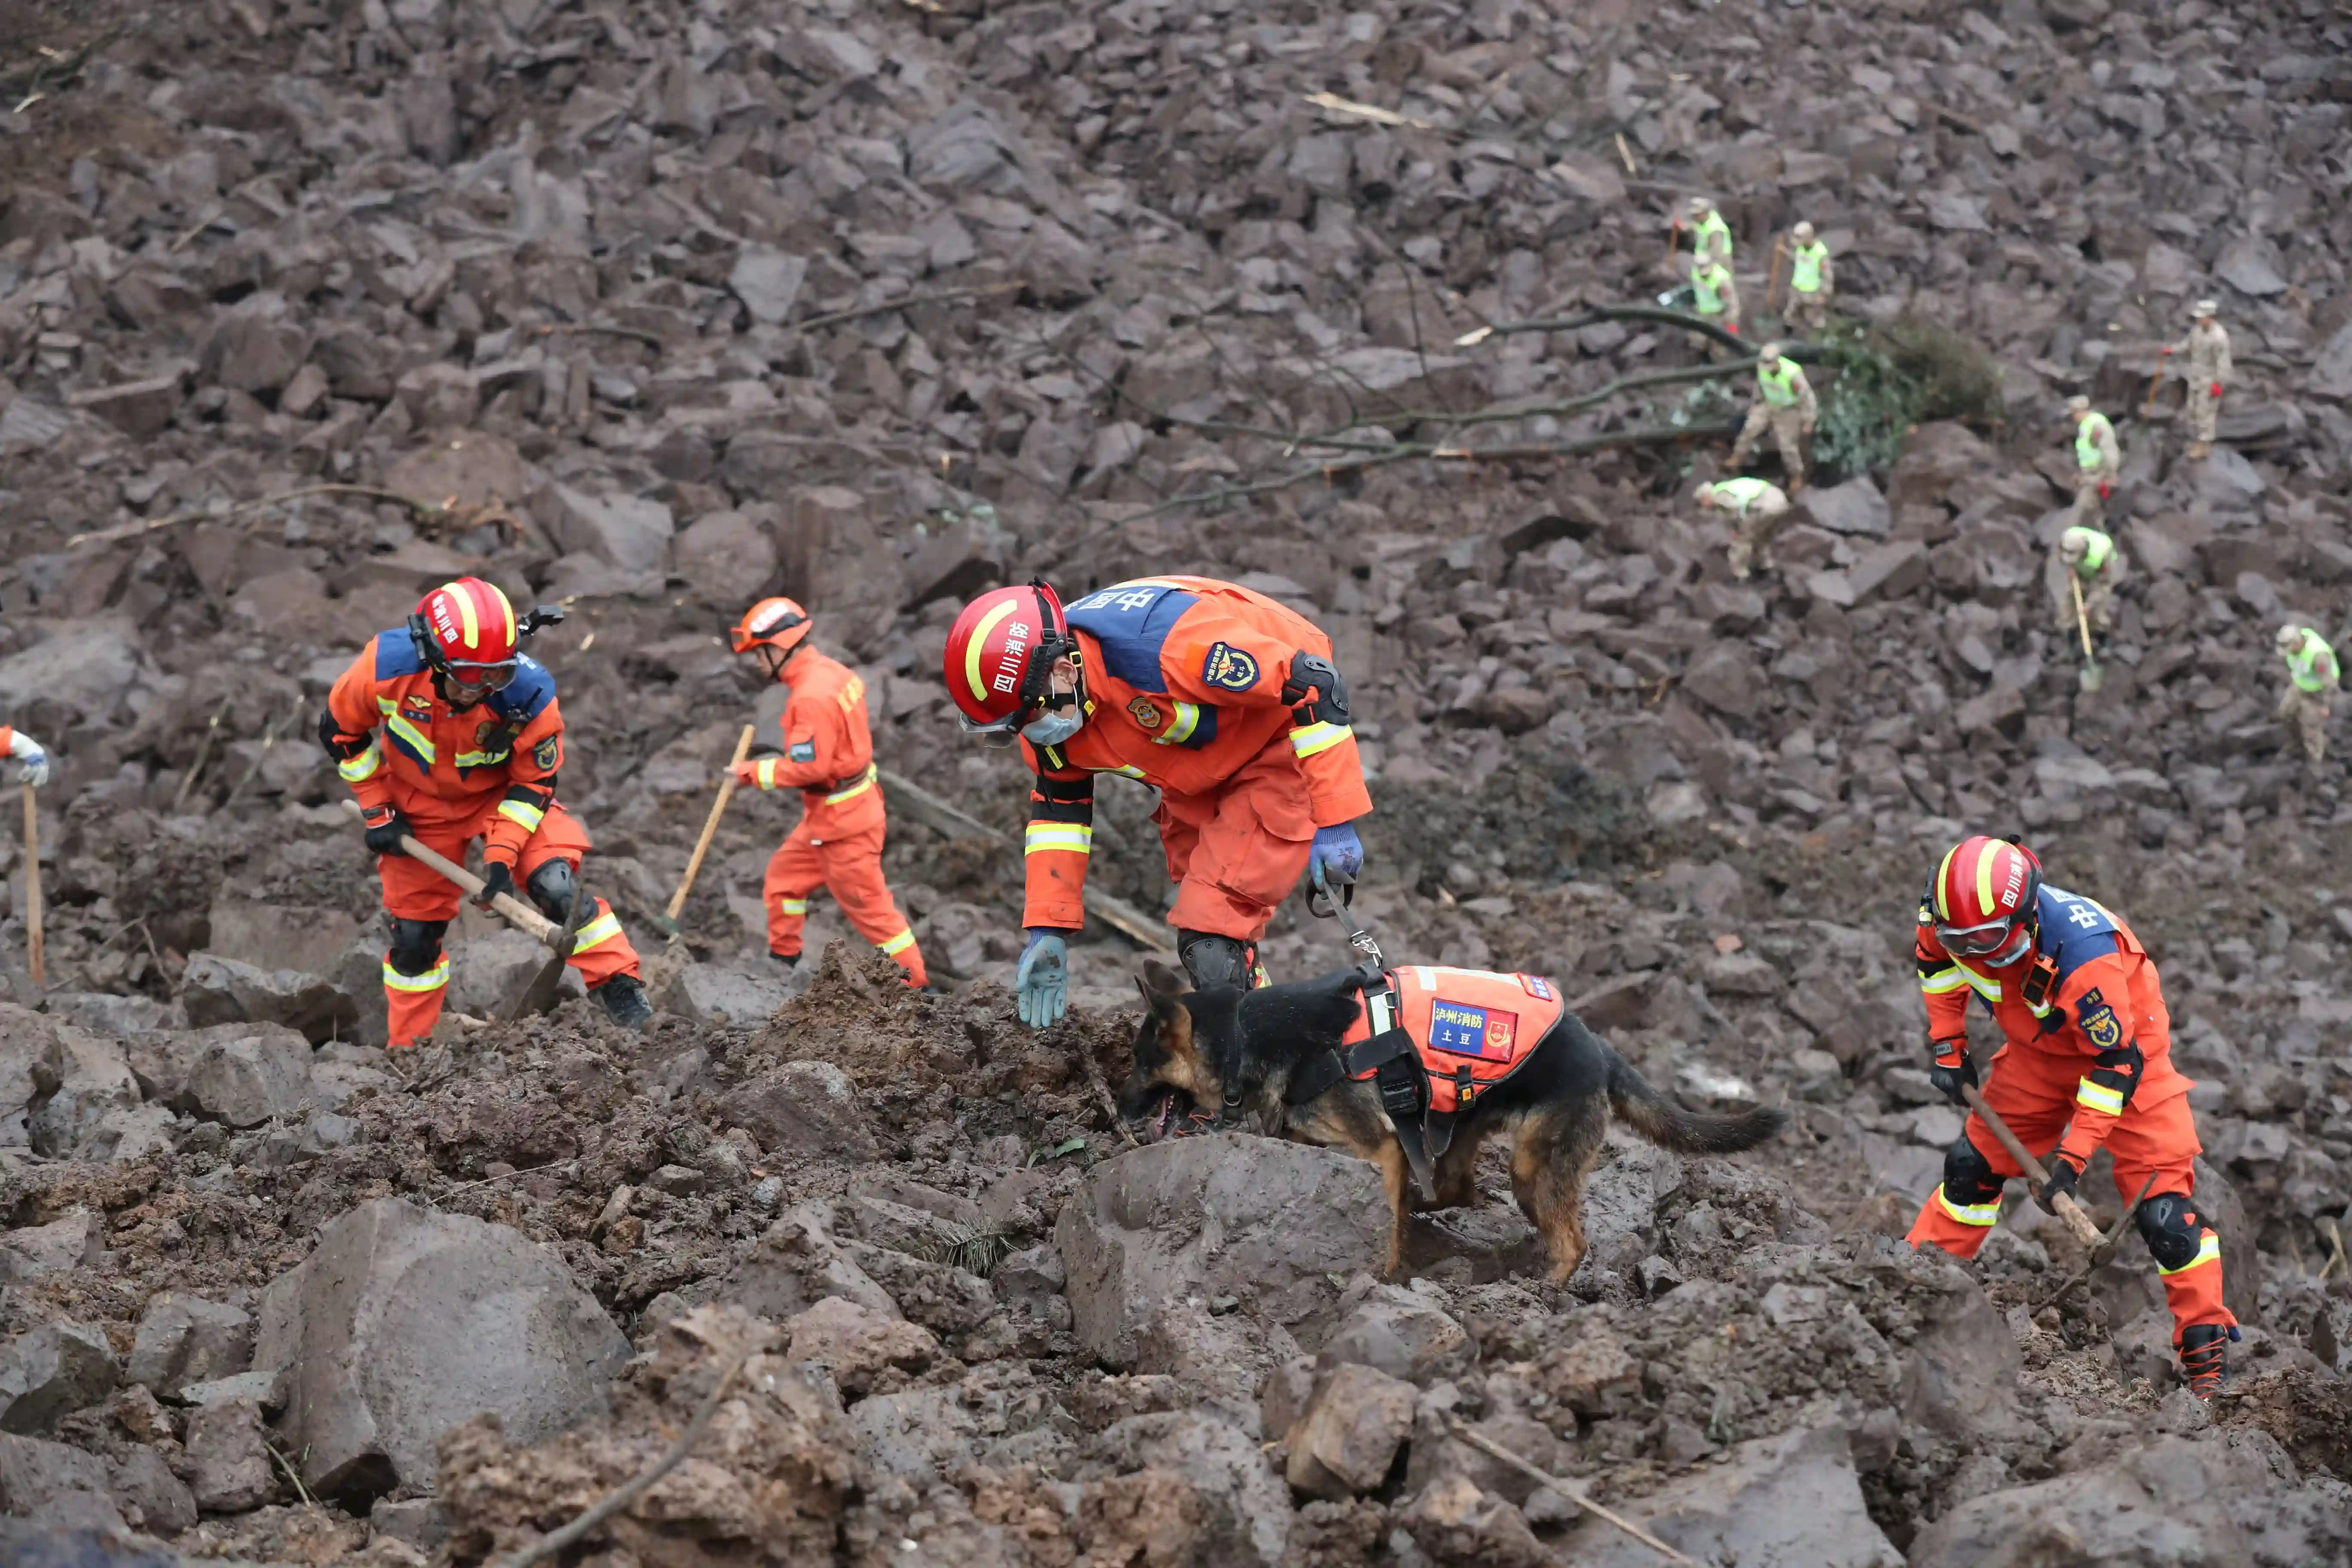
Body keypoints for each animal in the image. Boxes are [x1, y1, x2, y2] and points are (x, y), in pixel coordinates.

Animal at [1119, 964, 1778, 1279]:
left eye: (1139, 1064)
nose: (1119, 1111)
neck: (1244, 1031)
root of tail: (1602, 1049)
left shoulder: (1379, 1150)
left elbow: (1385, 1225)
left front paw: (1385, 1278)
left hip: (1535, 1166)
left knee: (1571, 1241)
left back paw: (1543, 1293)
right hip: (1469, 1135)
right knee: (1460, 1187)